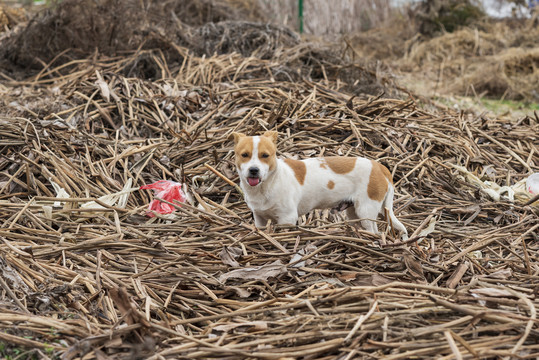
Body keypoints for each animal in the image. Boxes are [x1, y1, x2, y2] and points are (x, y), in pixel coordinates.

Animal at [232, 130, 410, 239]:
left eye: (265, 155)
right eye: (244, 155)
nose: (254, 170)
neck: (267, 184)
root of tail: (379, 166)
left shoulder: (287, 218)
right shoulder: (259, 219)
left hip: (366, 211)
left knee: (374, 231)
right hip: (354, 213)